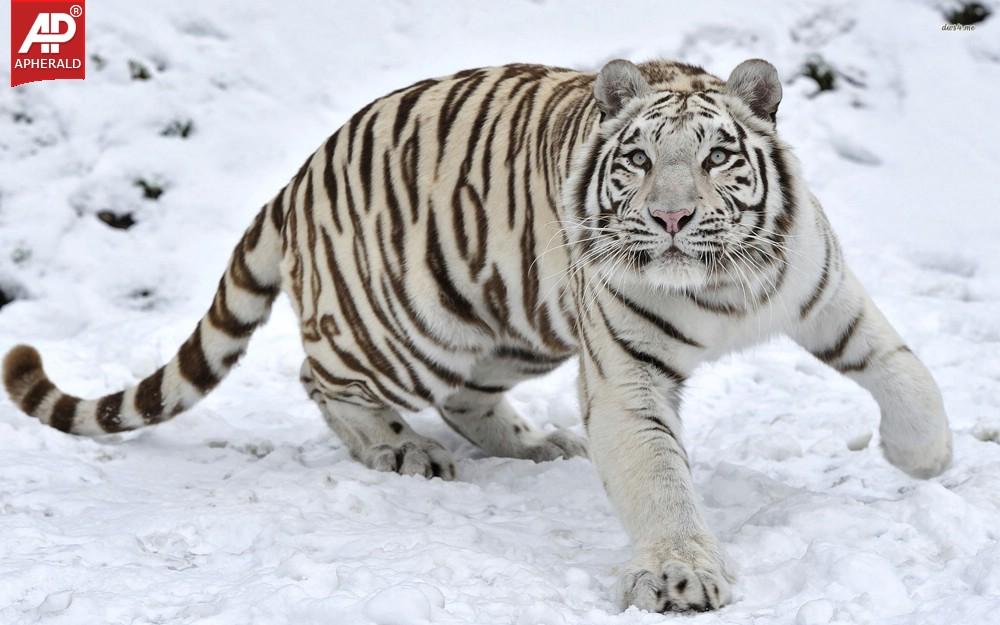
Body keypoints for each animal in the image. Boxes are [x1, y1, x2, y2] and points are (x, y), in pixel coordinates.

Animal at [2, 58, 953, 613]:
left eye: (718, 157)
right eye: (640, 160)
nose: (672, 217)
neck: (719, 284)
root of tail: (299, 174)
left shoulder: (822, 290)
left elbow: (903, 366)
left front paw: (925, 458)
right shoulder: (627, 377)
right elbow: (662, 483)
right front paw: (679, 575)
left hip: (512, 321)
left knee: (466, 396)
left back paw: (536, 444)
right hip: (400, 326)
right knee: (322, 377)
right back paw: (402, 449)